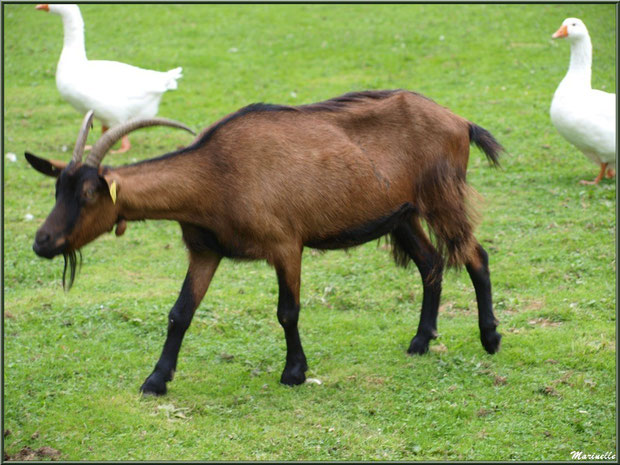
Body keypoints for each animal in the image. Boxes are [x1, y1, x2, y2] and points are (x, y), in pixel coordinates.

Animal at [25, 90, 504, 396]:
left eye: (89, 194)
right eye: (57, 190)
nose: (42, 242)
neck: (216, 174)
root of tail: (460, 122)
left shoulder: (285, 244)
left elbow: (287, 311)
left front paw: (294, 372)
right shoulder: (205, 251)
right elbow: (180, 314)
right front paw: (156, 381)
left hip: (440, 197)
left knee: (475, 256)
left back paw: (490, 338)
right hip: (401, 214)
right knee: (431, 264)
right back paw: (421, 341)